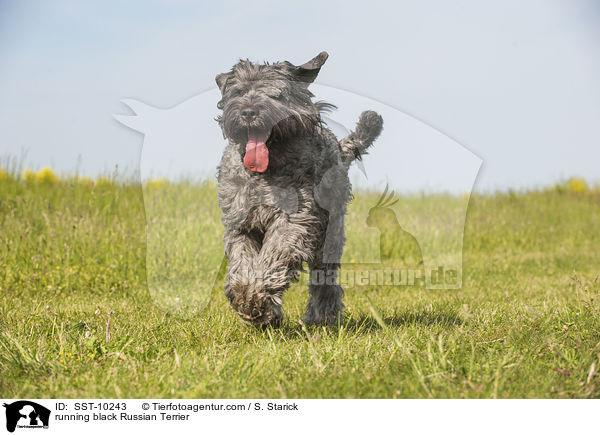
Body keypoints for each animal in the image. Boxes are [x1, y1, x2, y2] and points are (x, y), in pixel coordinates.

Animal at [216, 52, 382, 328]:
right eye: (239, 91)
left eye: (276, 94)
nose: (249, 112)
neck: (267, 172)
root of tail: (340, 150)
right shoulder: (241, 224)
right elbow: (242, 261)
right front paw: (246, 298)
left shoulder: (294, 220)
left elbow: (273, 256)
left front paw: (257, 298)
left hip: (329, 236)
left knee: (324, 281)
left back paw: (322, 318)